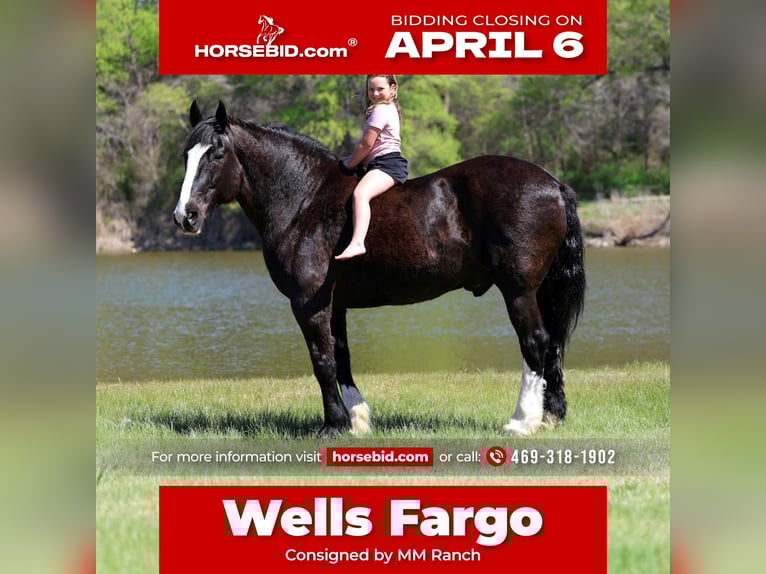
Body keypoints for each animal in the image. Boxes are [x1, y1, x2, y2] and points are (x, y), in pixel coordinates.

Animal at [173, 100, 586, 436]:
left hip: (519, 290)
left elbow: (322, 361)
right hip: (540, 290)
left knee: (535, 343)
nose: (184, 216)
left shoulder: (308, 304)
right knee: (553, 346)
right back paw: (551, 416)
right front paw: (356, 421)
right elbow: (341, 358)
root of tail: (552, 182)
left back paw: (522, 421)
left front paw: (333, 425)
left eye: (217, 154)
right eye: (185, 155)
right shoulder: (334, 305)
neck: (304, 199)